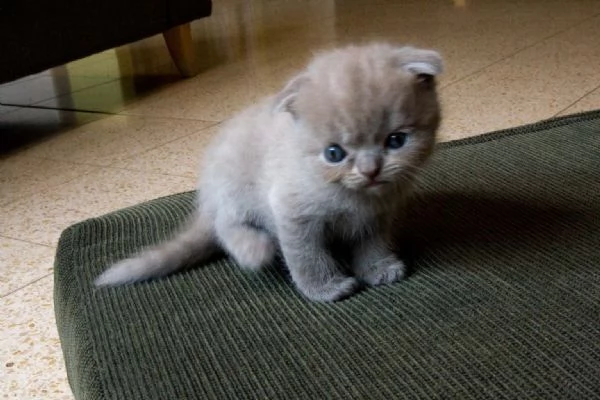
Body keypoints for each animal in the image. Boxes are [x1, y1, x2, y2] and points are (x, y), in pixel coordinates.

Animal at [96, 43, 442, 300]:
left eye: (396, 141)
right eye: (334, 154)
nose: (370, 170)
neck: (357, 198)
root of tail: (207, 194)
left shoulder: (378, 217)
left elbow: (373, 244)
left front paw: (379, 268)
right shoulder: (292, 211)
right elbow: (306, 256)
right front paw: (325, 288)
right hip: (233, 191)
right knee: (224, 226)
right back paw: (255, 248)